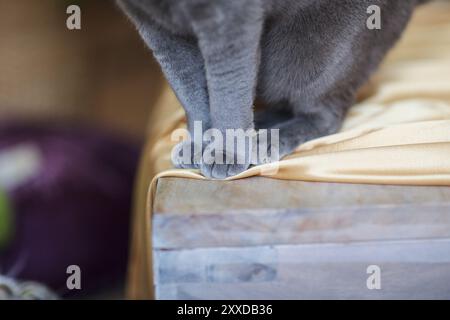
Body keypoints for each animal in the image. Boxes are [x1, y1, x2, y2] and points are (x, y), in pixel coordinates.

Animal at [118, 0, 428, 179]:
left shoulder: (232, 24)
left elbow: (227, 94)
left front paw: (226, 153)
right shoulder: (156, 29)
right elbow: (189, 90)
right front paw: (199, 144)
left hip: (311, 54)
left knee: (326, 112)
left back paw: (266, 140)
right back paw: (261, 129)